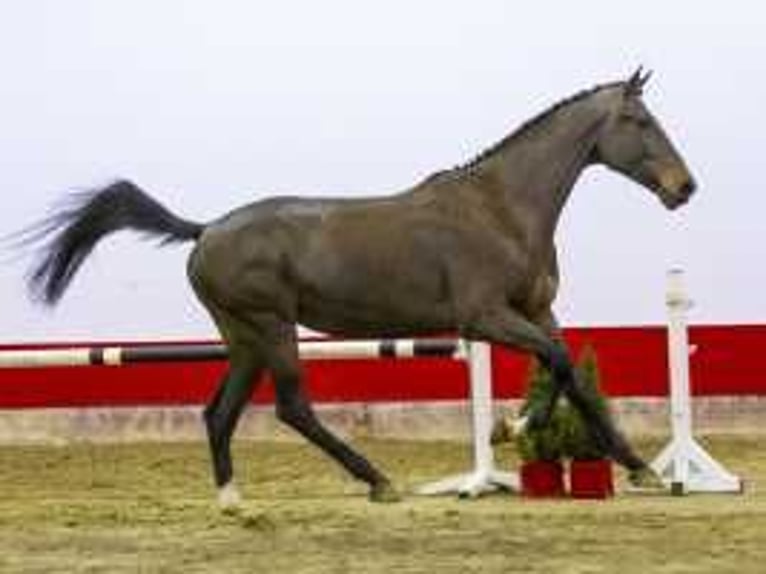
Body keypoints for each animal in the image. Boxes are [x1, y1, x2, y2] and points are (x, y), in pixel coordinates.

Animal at [24, 68, 696, 508]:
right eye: (638, 120)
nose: (683, 187)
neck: (501, 209)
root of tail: (206, 228)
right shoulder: (483, 317)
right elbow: (555, 363)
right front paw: (512, 428)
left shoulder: (539, 310)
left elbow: (572, 374)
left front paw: (642, 471)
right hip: (272, 327)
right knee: (292, 408)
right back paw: (377, 482)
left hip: (245, 338)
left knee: (219, 412)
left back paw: (234, 501)